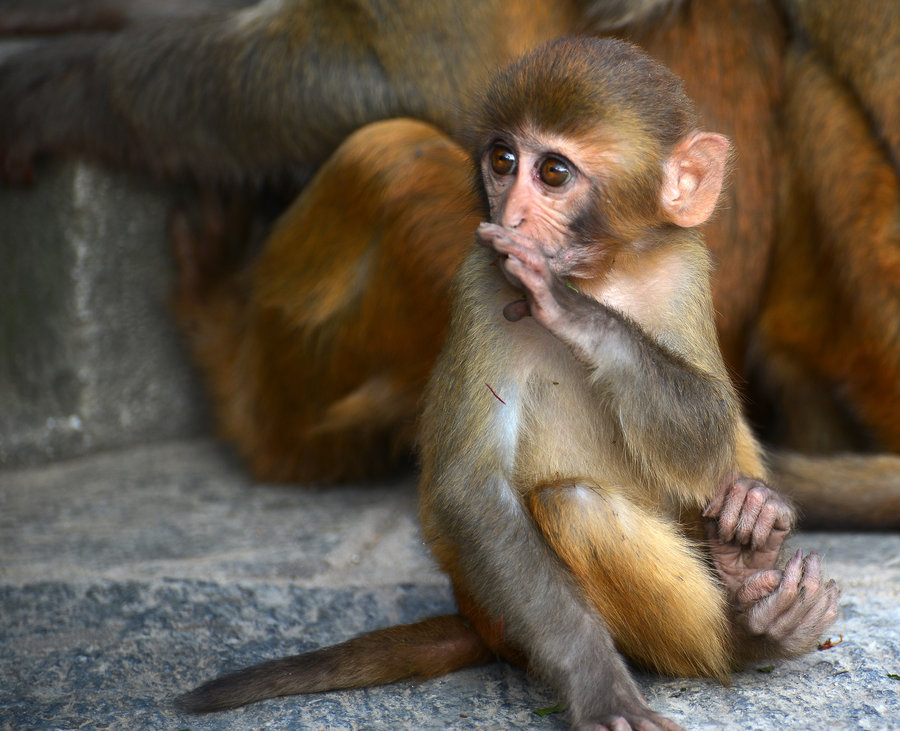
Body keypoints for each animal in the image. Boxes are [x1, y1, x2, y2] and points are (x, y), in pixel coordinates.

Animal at [1, 0, 900, 528]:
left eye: (552, 174)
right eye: (504, 163)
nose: (515, 205)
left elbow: (400, 68)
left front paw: (77, 82)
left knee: (387, 158)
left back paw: (242, 393)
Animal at [176, 38, 836, 731]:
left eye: (553, 173)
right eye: (503, 160)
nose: (512, 215)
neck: (606, 273)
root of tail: (476, 620)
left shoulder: (681, 264)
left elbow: (710, 423)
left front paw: (571, 309)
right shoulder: (482, 281)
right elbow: (474, 493)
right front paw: (600, 686)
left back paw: (750, 556)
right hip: (504, 617)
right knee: (575, 506)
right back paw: (743, 634)